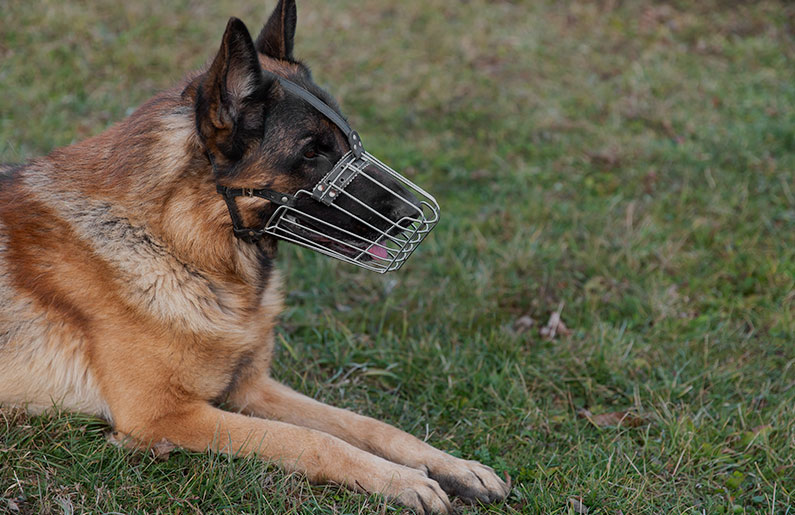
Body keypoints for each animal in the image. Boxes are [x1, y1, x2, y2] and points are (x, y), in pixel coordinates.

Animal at [0, 2, 510, 512]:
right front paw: (399, 479)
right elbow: (314, 440)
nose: (414, 216)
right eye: (313, 151)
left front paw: (452, 466)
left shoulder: (250, 387)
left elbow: (364, 423)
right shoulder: (164, 416)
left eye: (349, 142)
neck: (179, 245)